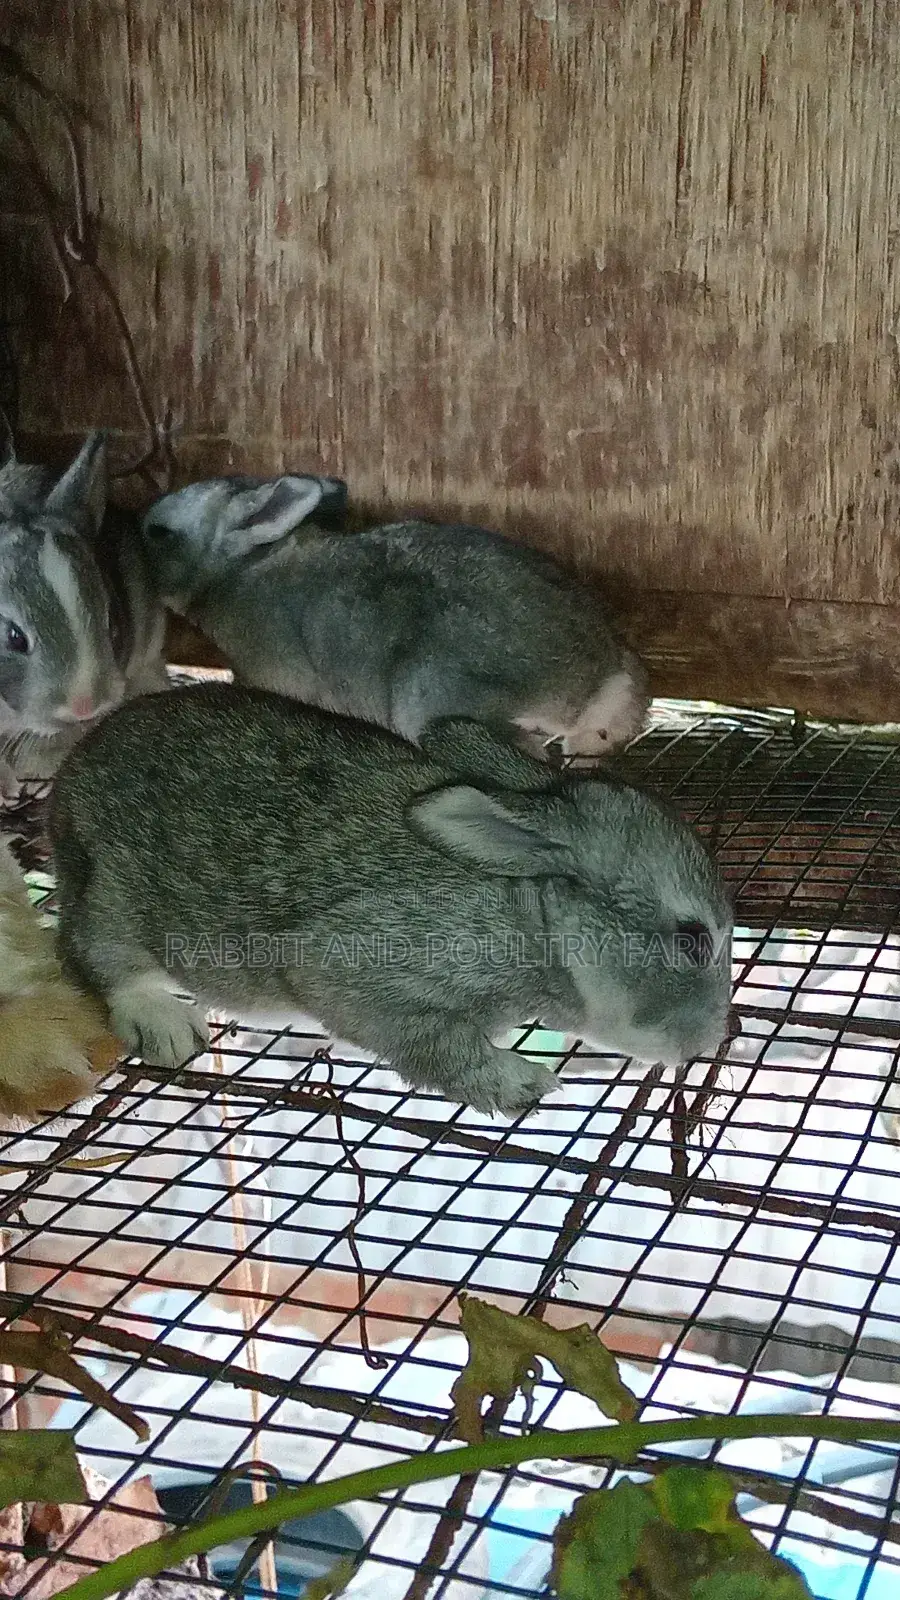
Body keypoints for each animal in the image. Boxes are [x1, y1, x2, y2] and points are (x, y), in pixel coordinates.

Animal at [48, 685, 734, 1119]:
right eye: (693, 937)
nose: (705, 1040)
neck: (533, 914)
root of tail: (68, 780)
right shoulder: (353, 967)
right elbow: (435, 1044)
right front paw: (519, 1085)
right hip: (116, 896)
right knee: (96, 952)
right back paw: (164, 1026)